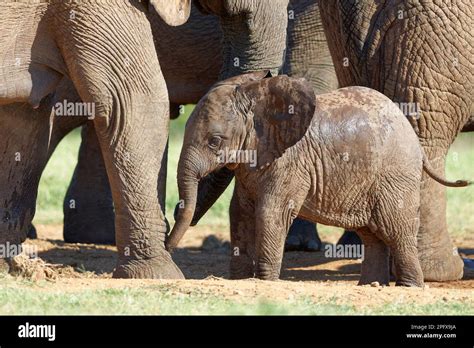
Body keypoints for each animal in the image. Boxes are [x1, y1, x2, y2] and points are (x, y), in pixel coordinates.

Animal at [166, 71, 466, 288]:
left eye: (215, 142)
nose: (167, 242)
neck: (258, 96)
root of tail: (411, 133)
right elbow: (240, 212)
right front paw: (239, 279)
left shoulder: (289, 162)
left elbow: (270, 212)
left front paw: (265, 281)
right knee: (371, 234)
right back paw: (371, 285)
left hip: (396, 174)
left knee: (396, 228)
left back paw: (410, 287)